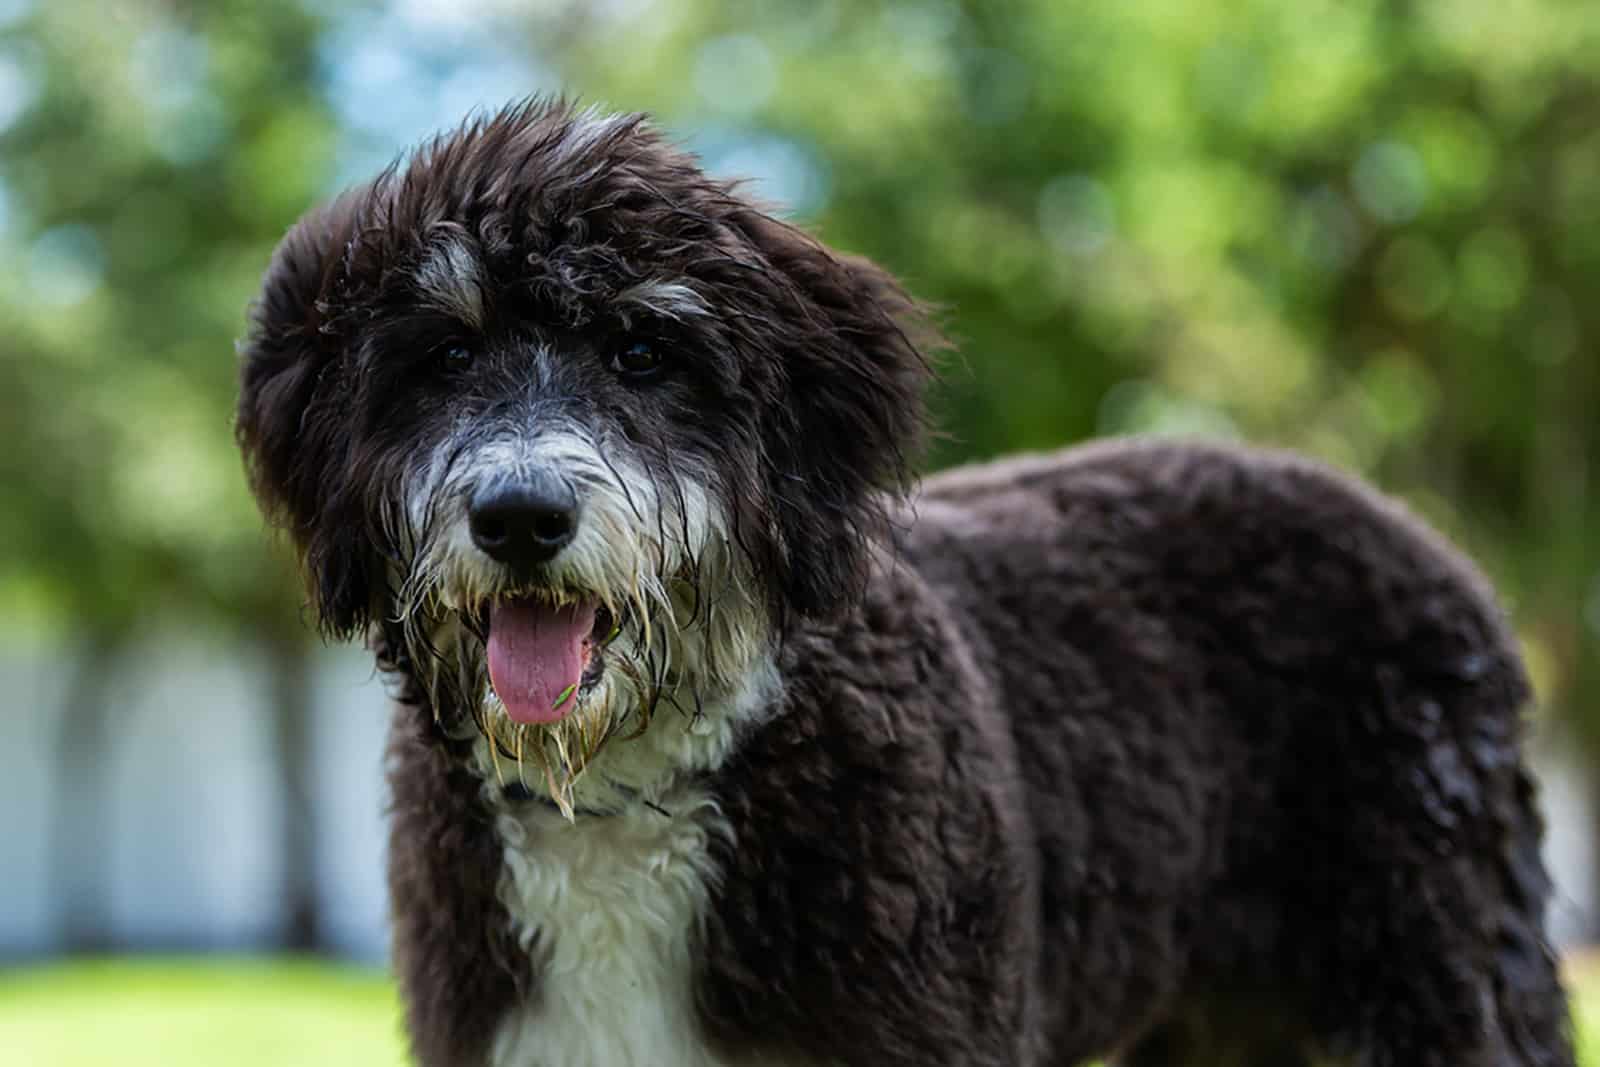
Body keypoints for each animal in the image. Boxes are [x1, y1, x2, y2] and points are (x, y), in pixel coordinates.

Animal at [236, 99, 1574, 1067]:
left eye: (643, 347)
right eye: (443, 352)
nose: (519, 515)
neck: (630, 796)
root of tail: (1428, 546)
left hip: (1444, 966)